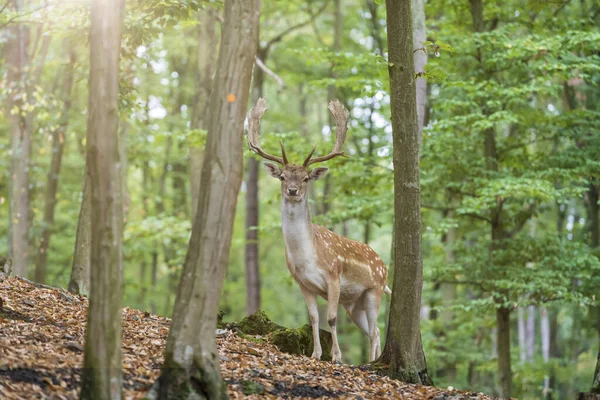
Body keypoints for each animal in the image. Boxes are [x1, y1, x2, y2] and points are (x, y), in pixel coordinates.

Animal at [246, 97, 392, 366]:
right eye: (282, 177)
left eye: (306, 178)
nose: (292, 190)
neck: (307, 256)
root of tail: (384, 265)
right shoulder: (303, 283)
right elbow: (313, 317)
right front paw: (315, 353)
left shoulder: (334, 276)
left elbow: (331, 318)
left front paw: (336, 357)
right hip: (353, 304)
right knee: (373, 330)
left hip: (374, 290)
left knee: (376, 329)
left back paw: (370, 362)